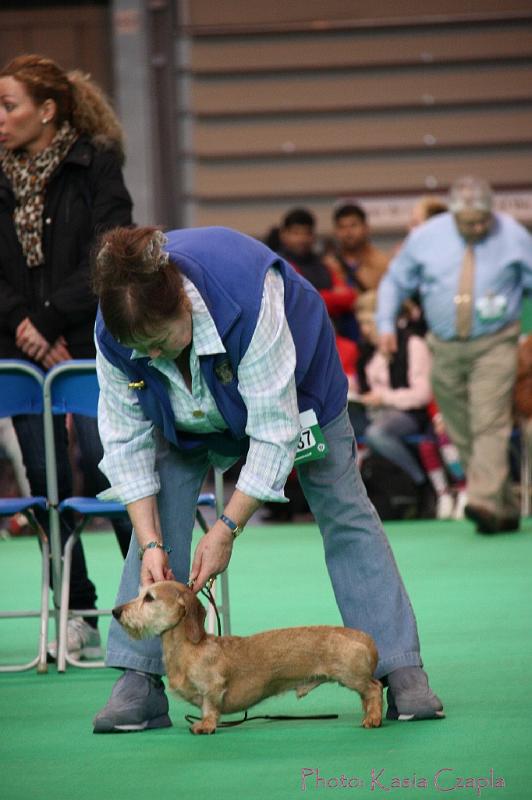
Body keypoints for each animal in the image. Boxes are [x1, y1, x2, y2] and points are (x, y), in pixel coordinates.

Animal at [112, 580, 380, 736]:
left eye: (149, 598)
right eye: (140, 594)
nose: (115, 611)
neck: (188, 649)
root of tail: (362, 636)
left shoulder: (213, 688)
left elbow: (210, 708)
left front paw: (205, 725)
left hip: (351, 675)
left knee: (374, 688)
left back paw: (373, 718)